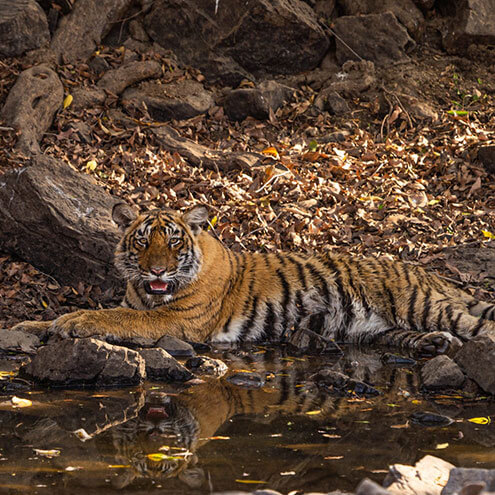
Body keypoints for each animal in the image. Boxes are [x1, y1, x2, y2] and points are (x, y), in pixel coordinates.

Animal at [10, 202, 495, 356]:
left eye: (173, 241)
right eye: (143, 241)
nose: (157, 270)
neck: (145, 292)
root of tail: (426, 270)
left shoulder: (177, 321)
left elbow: (112, 317)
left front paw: (73, 323)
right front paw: (26, 325)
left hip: (421, 305)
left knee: (479, 327)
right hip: (377, 330)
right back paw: (434, 345)